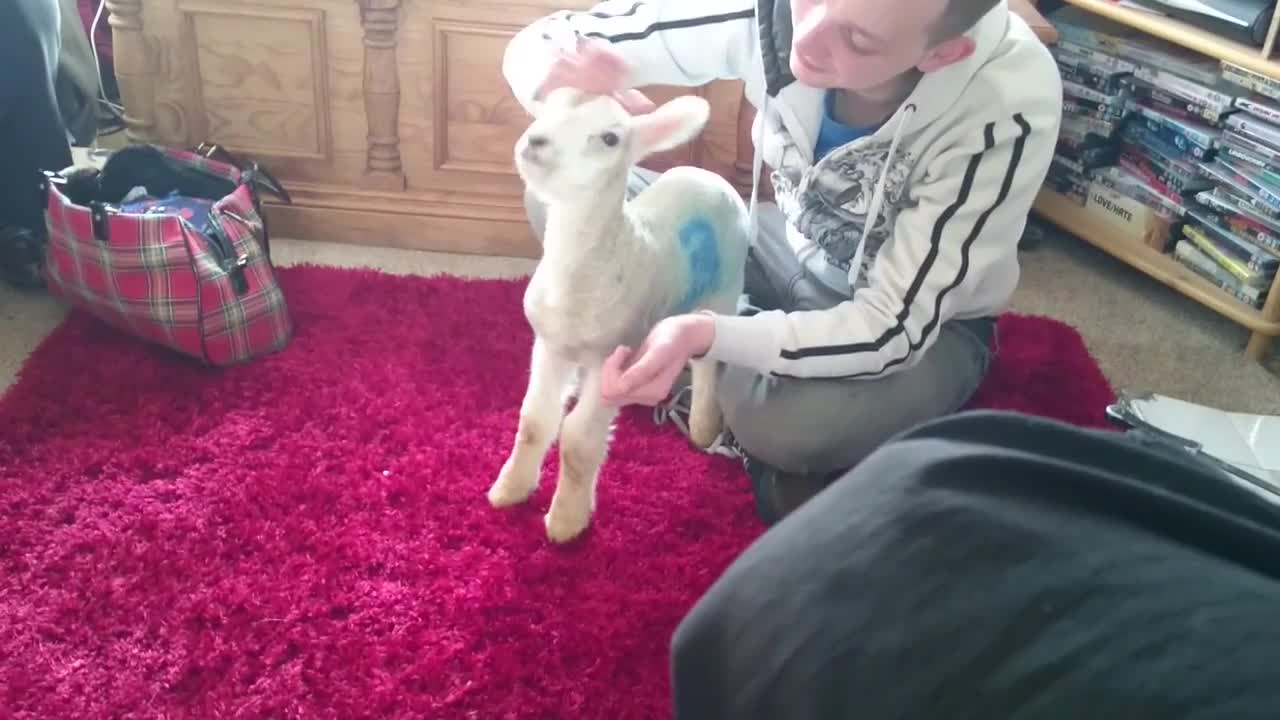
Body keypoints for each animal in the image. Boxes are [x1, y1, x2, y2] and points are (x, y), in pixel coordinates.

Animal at [486, 87, 747, 540]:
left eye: (610, 139)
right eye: (551, 104)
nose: (536, 141)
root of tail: (710, 176)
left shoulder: (613, 356)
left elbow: (578, 439)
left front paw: (566, 522)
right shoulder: (550, 344)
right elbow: (534, 420)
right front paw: (511, 489)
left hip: (726, 286)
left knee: (707, 358)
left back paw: (702, 425)